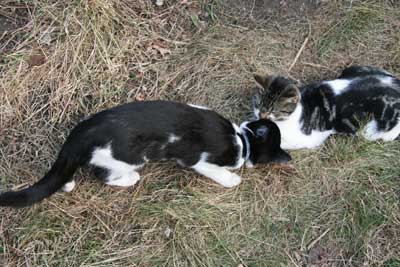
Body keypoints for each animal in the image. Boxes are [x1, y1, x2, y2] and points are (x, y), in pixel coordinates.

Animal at [0, 101, 290, 208]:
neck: (242, 139)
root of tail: (83, 131)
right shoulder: (198, 159)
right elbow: (219, 172)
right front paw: (233, 178)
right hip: (126, 157)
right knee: (101, 174)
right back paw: (130, 179)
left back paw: (67, 182)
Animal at [252, 65, 400, 150]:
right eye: (258, 105)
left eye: (274, 110)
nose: (261, 115)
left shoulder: (308, 139)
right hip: (354, 67)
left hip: (369, 130)